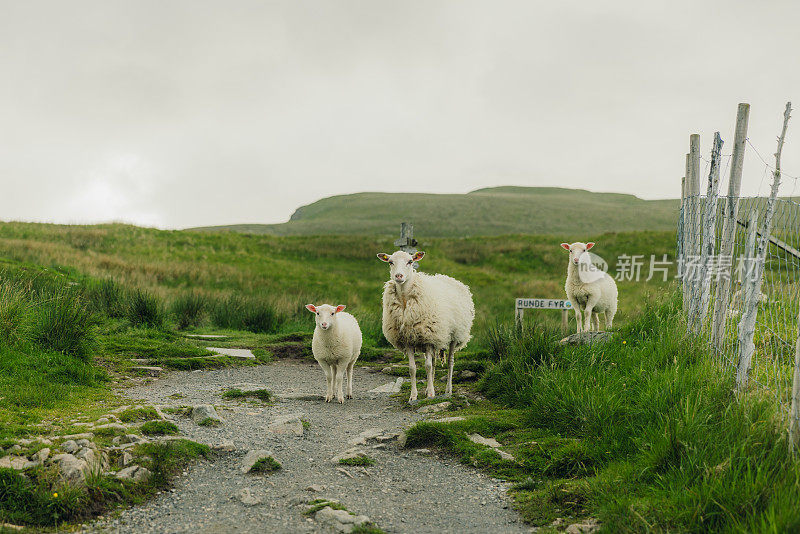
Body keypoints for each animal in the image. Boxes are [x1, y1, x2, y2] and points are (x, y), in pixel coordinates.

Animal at [376, 251, 476, 402]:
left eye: (410, 261)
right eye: (390, 262)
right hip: (434, 337)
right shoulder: (408, 339)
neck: (405, 300)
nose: (398, 276)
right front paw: (414, 396)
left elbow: (427, 366)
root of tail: (449, 278)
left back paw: (448, 390)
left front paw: (430, 395)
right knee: (434, 362)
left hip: (454, 335)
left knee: (450, 362)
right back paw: (430, 387)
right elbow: (412, 368)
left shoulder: (428, 337)